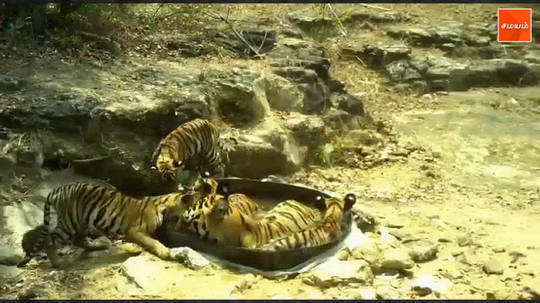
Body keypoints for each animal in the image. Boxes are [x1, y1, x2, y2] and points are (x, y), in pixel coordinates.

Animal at [19, 183, 201, 268]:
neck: (166, 208)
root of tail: (57, 189)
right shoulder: (134, 230)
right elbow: (152, 241)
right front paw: (165, 252)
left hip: (82, 221)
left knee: (79, 240)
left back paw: (97, 246)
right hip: (68, 223)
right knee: (51, 240)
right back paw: (57, 263)